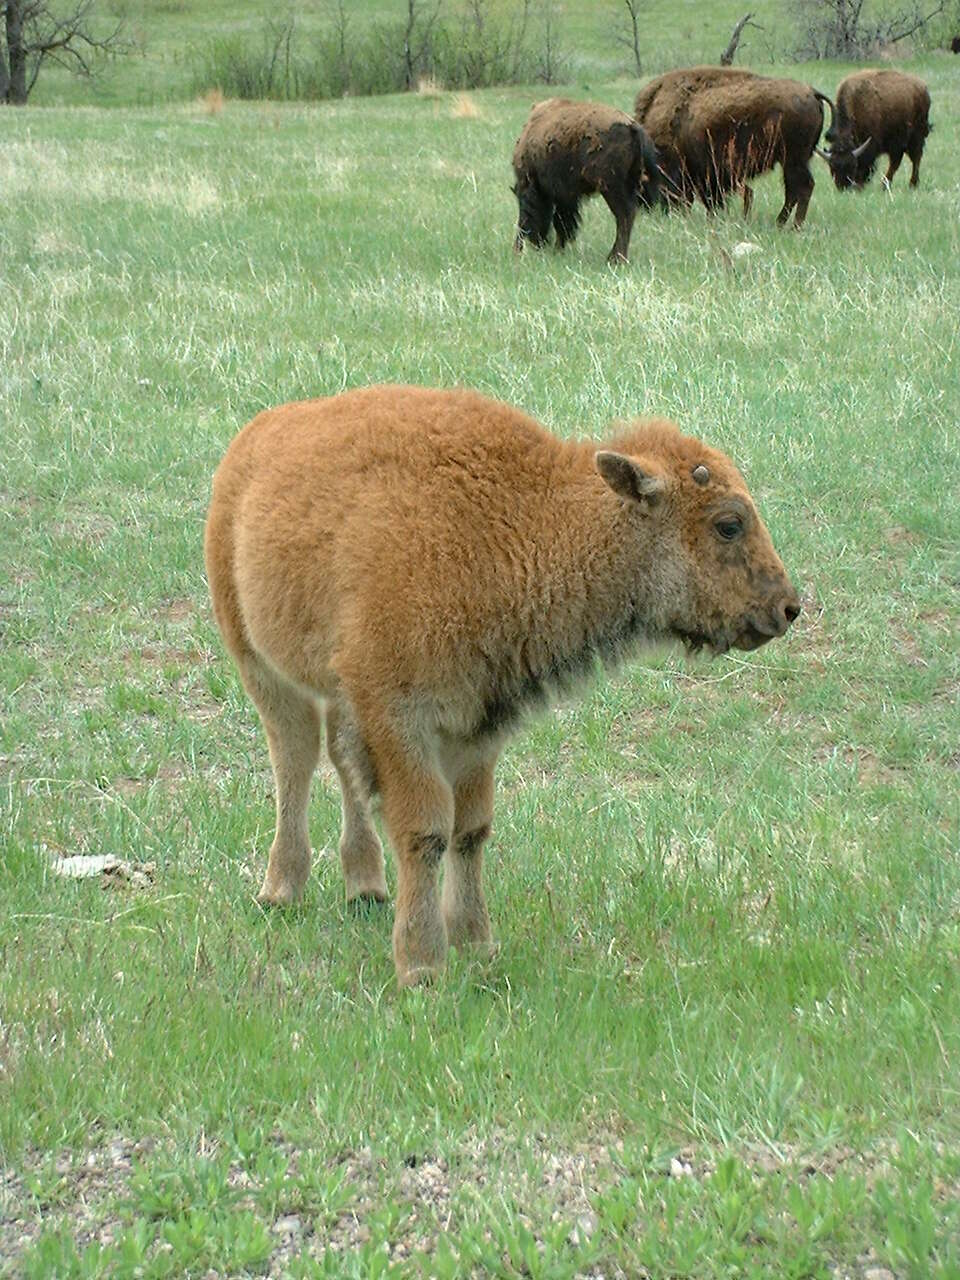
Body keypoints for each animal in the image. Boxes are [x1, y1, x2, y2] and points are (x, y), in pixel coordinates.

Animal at [204, 384, 803, 983]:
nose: (788, 607)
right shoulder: (399, 715)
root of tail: (249, 444)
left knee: (340, 760)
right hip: (258, 664)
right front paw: (422, 963)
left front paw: (475, 942)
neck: (516, 521)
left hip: (335, 689)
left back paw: (366, 887)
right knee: (296, 758)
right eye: (728, 524)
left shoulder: (476, 725)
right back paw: (281, 890)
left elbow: (470, 829)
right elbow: (425, 829)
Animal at [512, 97, 660, 264]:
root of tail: (632, 127)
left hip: (611, 188)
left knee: (624, 215)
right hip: (629, 184)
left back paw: (616, 258)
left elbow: (526, 220)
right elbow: (563, 222)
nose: (538, 244)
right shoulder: (565, 196)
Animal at [632, 65, 834, 227]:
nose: (643, 208)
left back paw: (793, 226)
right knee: (794, 190)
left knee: (802, 187)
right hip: (795, 160)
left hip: (793, 159)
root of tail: (811, 92)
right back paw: (781, 223)